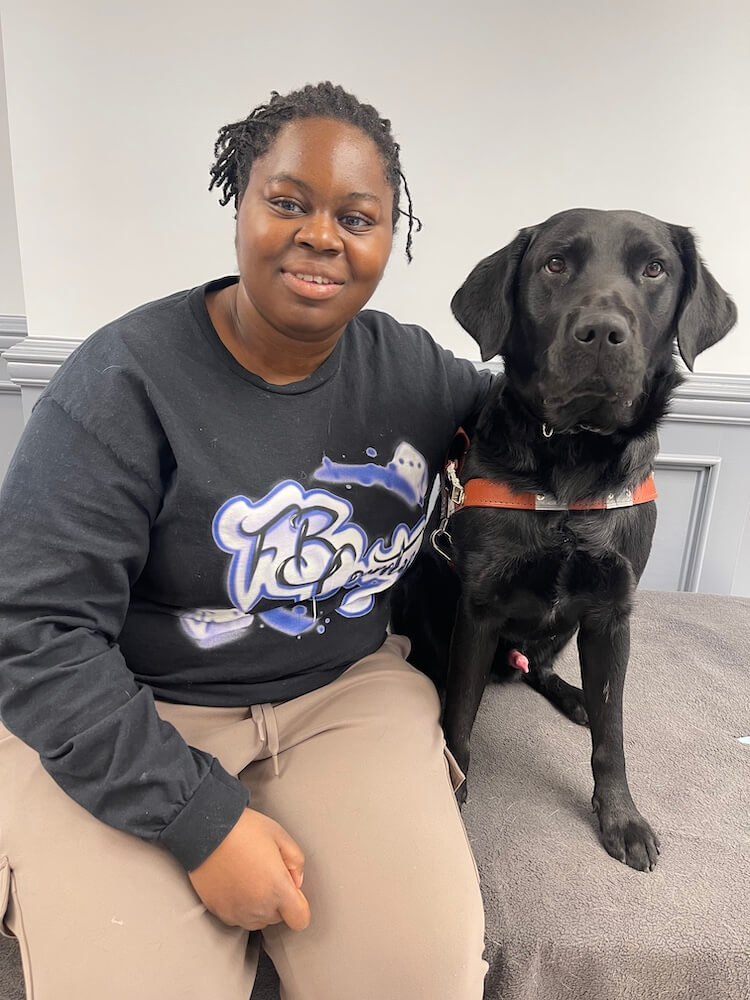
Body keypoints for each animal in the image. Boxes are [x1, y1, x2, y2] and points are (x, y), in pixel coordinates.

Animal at [396, 209, 736, 868]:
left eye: (654, 268)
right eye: (555, 264)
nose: (601, 332)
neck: (573, 456)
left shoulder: (611, 611)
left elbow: (614, 730)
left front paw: (621, 816)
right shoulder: (479, 605)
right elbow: (460, 715)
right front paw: (453, 787)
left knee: (542, 670)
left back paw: (574, 696)